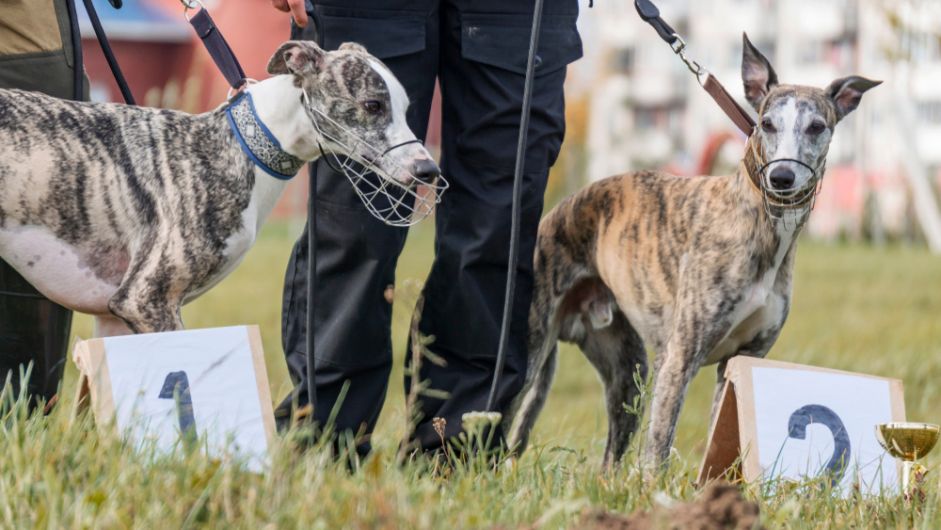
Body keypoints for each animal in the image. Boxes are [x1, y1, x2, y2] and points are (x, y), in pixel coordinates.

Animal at [506, 34, 880, 466]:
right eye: (767, 124)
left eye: (817, 126)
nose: (782, 178)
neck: (760, 225)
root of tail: (555, 215)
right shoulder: (679, 358)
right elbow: (657, 452)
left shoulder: (743, 362)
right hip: (532, 352)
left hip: (628, 373)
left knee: (609, 460)